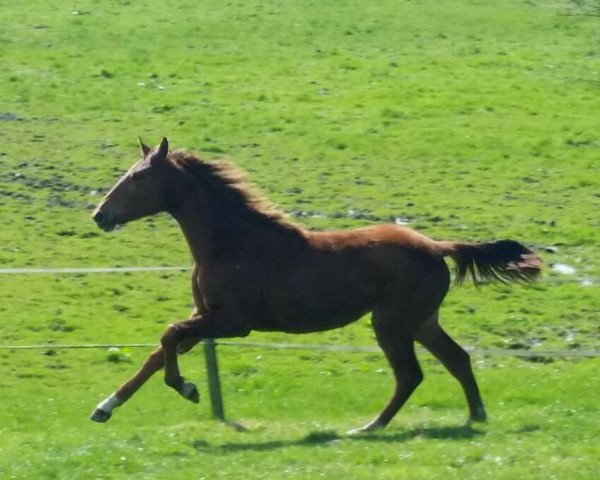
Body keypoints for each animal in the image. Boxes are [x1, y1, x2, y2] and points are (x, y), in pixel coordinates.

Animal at [90, 138, 544, 432]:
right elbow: (156, 352)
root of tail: (437, 246)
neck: (232, 243)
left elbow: (168, 336)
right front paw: (105, 407)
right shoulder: (206, 315)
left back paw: (370, 427)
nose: (100, 215)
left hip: (392, 323)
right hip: (422, 321)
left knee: (410, 374)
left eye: (138, 178)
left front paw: (187, 388)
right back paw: (475, 416)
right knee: (458, 359)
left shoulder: (233, 321)